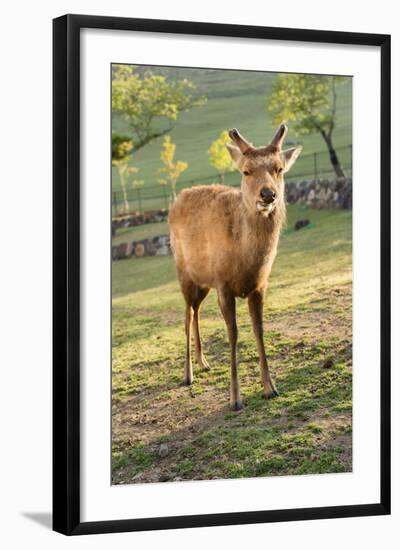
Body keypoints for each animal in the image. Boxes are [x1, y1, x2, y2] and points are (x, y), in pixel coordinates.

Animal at [167, 125, 302, 410]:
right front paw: (235, 399)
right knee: (186, 315)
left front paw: (270, 388)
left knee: (196, 310)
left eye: (279, 168)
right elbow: (233, 334)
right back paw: (188, 374)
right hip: (183, 272)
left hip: (204, 281)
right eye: (246, 171)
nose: (268, 194)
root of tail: (177, 199)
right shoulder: (224, 285)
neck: (246, 262)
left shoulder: (260, 285)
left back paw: (204, 363)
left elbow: (259, 329)